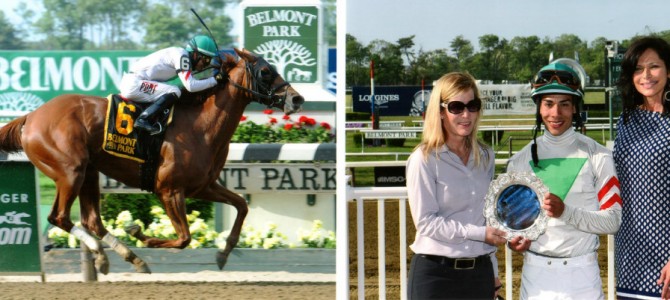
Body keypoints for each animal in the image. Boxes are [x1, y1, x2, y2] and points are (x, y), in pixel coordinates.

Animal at [0, 48, 302, 274]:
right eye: (265, 71)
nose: (297, 98)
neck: (201, 126)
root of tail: (31, 116)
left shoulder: (202, 186)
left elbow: (241, 205)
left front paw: (223, 253)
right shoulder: (169, 190)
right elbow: (184, 238)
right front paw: (138, 231)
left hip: (89, 172)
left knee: (91, 220)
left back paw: (122, 258)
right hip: (70, 171)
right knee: (59, 216)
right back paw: (107, 253)